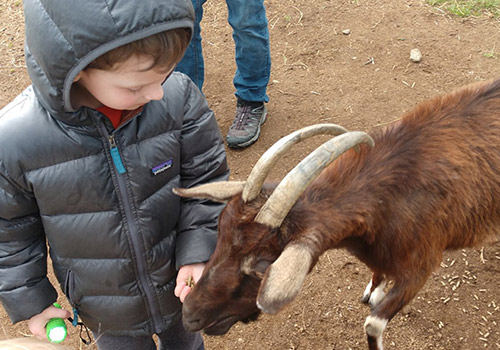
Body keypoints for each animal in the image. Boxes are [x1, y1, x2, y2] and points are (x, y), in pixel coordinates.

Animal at [173, 78, 500, 348]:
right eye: (220, 230)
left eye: (263, 267)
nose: (189, 315)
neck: (389, 198)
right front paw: (373, 290)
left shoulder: (421, 265)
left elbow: (373, 325)